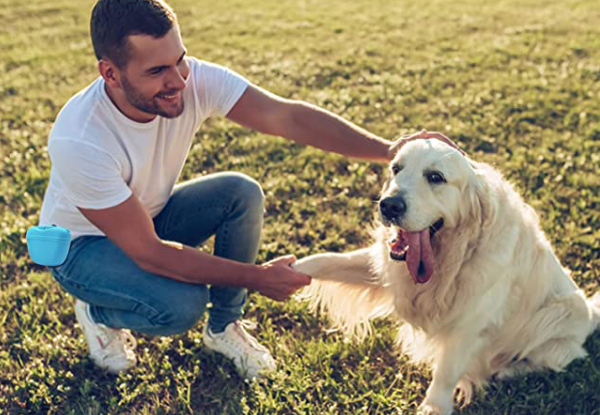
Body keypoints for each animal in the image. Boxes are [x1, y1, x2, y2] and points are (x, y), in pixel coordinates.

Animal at [294, 141, 600, 415]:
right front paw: (288, 269)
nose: (388, 206)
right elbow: (328, 261)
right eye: (396, 168)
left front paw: (434, 407)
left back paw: (505, 369)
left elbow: (447, 370)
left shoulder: (469, 321)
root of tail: (590, 312)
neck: (452, 254)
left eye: (435, 177)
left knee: (555, 358)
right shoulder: (383, 269)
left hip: (560, 312)